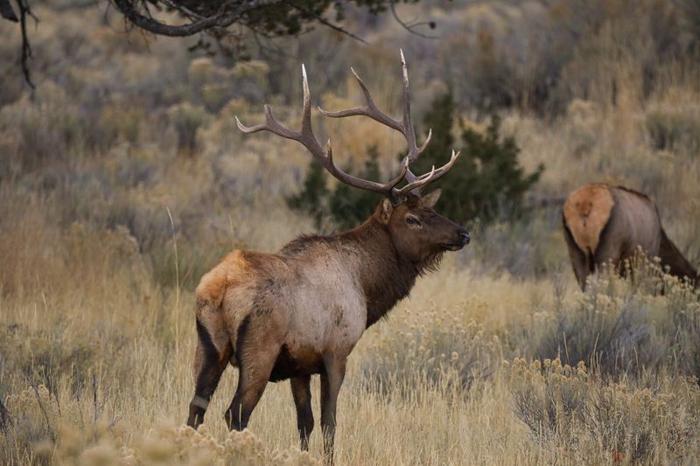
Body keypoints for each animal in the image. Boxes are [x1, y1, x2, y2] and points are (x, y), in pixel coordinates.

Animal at [186, 51, 470, 462]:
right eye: (412, 218)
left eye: (432, 209)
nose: (463, 233)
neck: (366, 287)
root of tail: (219, 288)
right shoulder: (335, 352)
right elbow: (329, 423)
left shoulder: (300, 365)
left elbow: (303, 423)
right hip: (259, 348)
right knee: (234, 413)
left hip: (207, 346)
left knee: (196, 408)